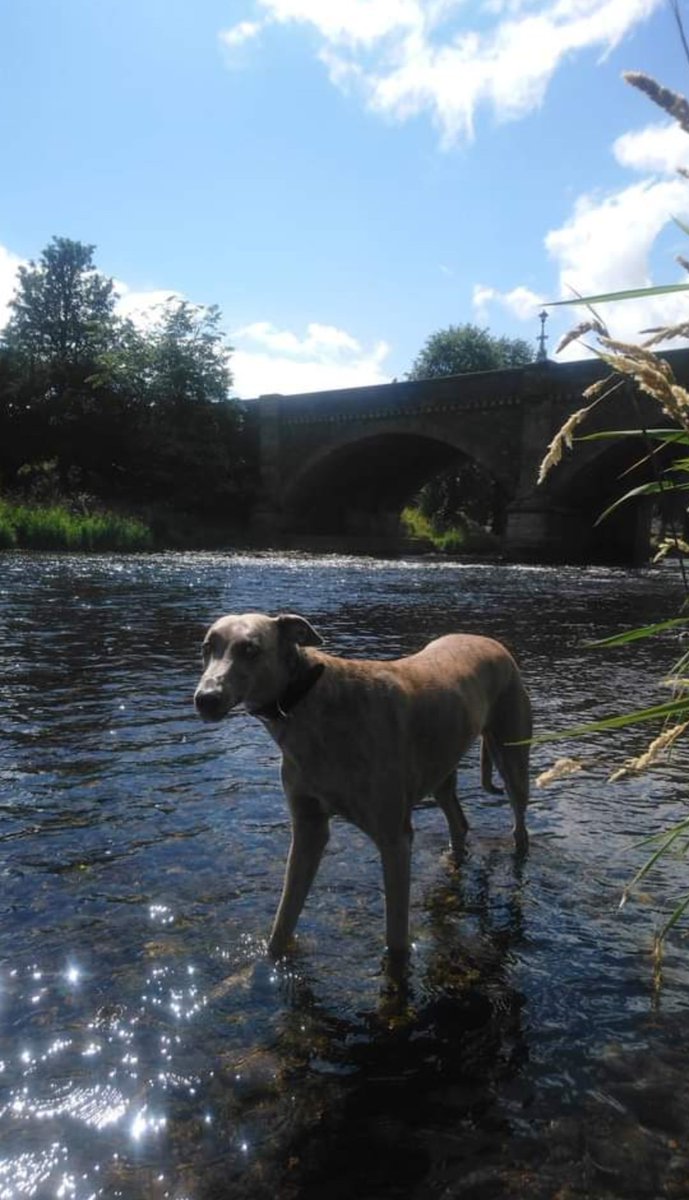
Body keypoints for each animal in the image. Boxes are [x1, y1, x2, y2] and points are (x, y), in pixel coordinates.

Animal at [194, 614, 535, 960]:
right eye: (207, 647)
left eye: (250, 649)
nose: (205, 698)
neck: (313, 707)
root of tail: (491, 642)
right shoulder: (308, 829)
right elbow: (283, 920)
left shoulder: (394, 839)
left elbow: (396, 940)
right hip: (442, 769)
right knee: (459, 822)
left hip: (511, 753)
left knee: (519, 824)